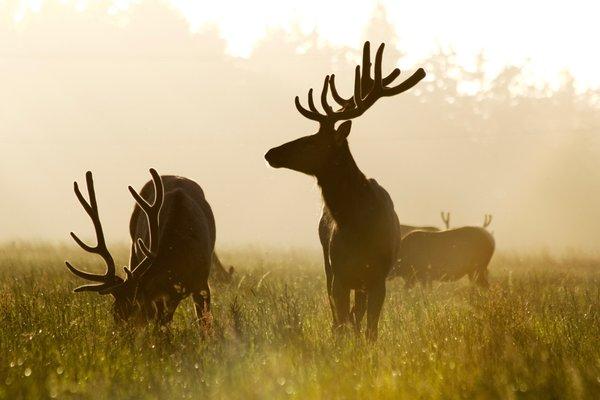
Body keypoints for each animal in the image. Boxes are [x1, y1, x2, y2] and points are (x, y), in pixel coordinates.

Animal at [63, 169, 223, 328]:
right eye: (114, 313)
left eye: (136, 310)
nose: (121, 333)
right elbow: (163, 322)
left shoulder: (202, 282)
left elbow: (204, 323)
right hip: (134, 247)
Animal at [264, 40, 426, 340]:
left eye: (312, 141)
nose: (271, 153)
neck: (358, 226)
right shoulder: (339, 273)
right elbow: (340, 323)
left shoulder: (377, 277)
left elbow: (371, 328)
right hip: (328, 267)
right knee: (340, 314)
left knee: (357, 314)